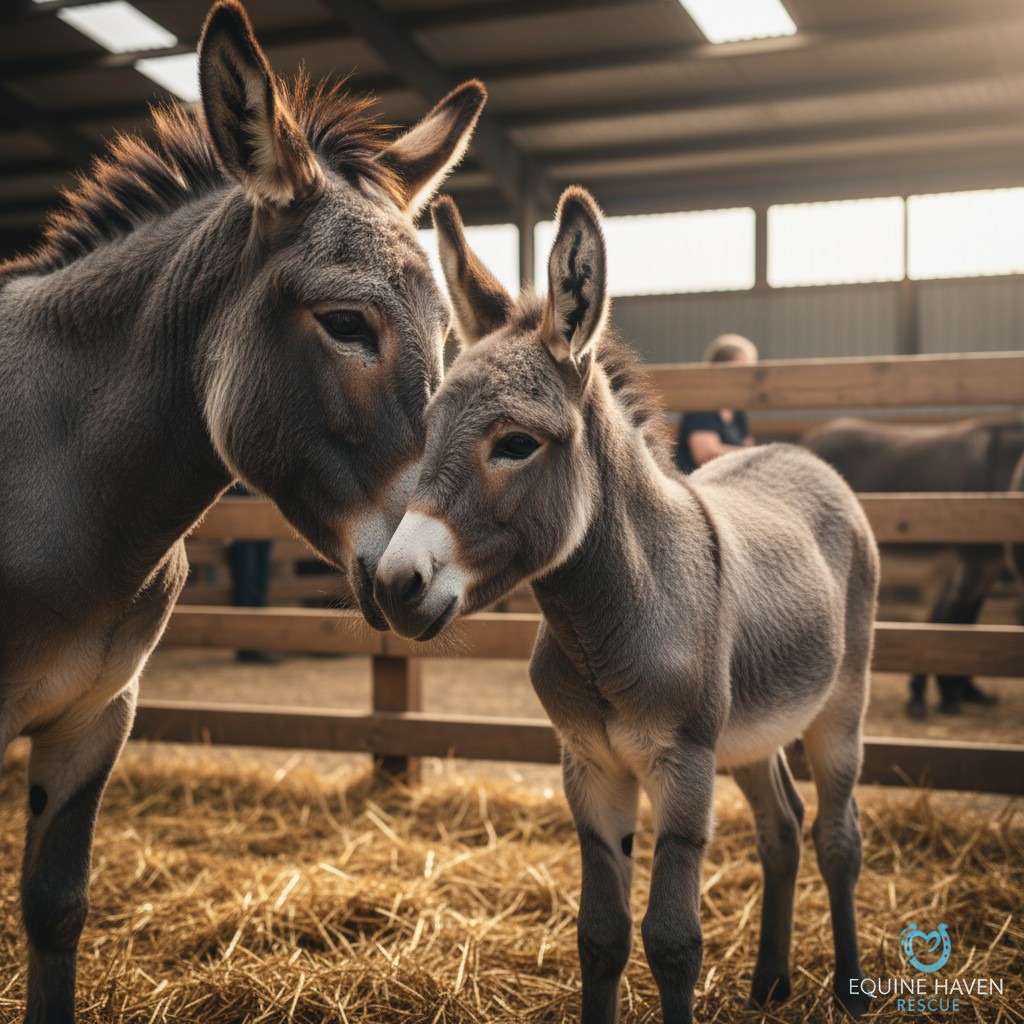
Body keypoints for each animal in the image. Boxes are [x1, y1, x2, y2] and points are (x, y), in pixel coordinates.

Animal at [371, 189, 879, 1023]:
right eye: (427, 432)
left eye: (516, 444)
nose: (392, 585)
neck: (600, 624)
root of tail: (803, 456)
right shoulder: (590, 767)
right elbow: (601, 936)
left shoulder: (682, 766)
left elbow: (672, 940)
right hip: (750, 731)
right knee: (782, 829)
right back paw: (770, 983)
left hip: (839, 707)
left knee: (839, 837)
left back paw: (851, 990)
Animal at [802, 416, 1024, 717]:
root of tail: (810, 438)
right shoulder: (974, 564)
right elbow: (951, 619)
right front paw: (937, 695)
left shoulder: (977, 568)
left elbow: (956, 620)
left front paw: (961, 691)